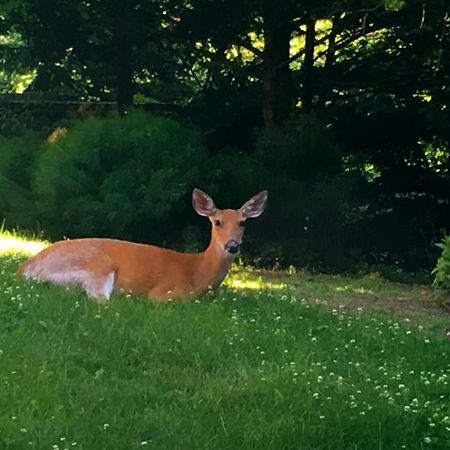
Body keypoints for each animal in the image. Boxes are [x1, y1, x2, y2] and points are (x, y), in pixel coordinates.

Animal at [18, 188, 268, 300]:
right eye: (217, 222)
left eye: (242, 222)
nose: (232, 246)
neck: (196, 273)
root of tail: (26, 268)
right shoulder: (164, 293)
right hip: (97, 264)